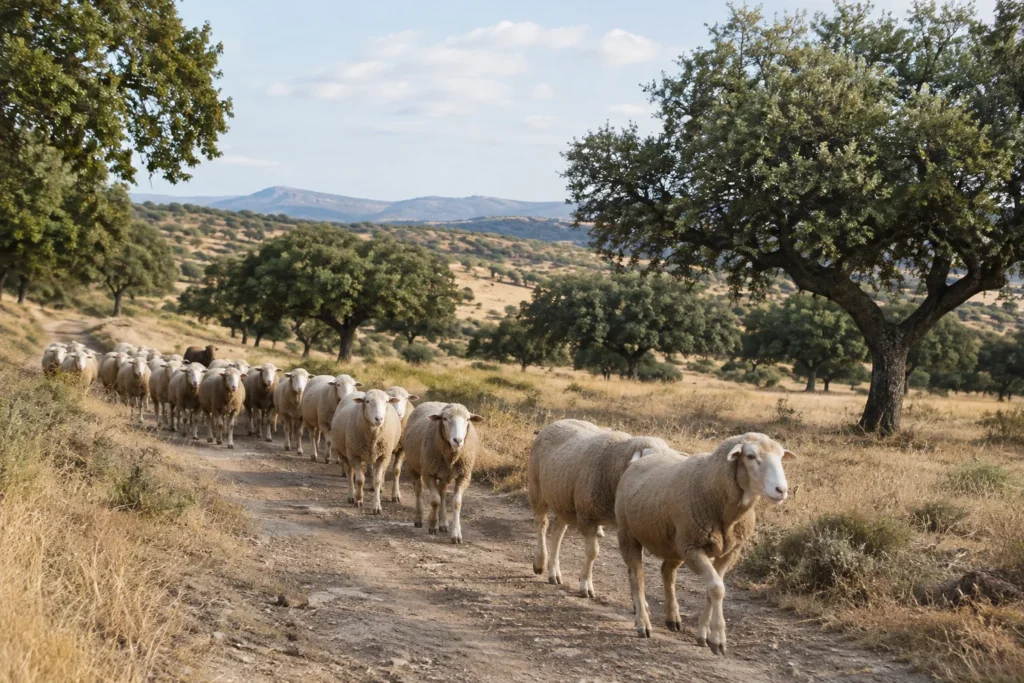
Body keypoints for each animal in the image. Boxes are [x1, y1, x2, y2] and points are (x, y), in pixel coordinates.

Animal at [403, 402, 484, 543]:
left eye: (467, 419)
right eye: (445, 419)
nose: (458, 440)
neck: (451, 457)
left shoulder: (464, 476)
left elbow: (456, 503)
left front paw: (456, 534)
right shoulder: (428, 474)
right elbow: (435, 500)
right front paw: (432, 525)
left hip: (445, 474)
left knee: (443, 493)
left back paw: (443, 523)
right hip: (413, 467)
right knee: (418, 490)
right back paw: (419, 519)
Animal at [529, 419, 678, 598]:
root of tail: (558, 422)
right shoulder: (587, 517)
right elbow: (592, 552)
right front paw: (585, 585)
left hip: (564, 499)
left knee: (557, 531)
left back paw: (554, 573)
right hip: (538, 488)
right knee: (541, 524)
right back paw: (540, 562)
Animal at [615, 433, 796, 652]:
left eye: (781, 456)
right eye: (751, 456)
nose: (781, 490)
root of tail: (640, 458)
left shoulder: (730, 552)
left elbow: (713, 589)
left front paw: (703, 634)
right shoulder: (694, 548)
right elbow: (717, 588)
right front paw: (718, 638)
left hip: (675, 544)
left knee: (667, 571)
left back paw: (672, 617)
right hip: (629, 533)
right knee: (637, 577)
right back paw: (643, 623)